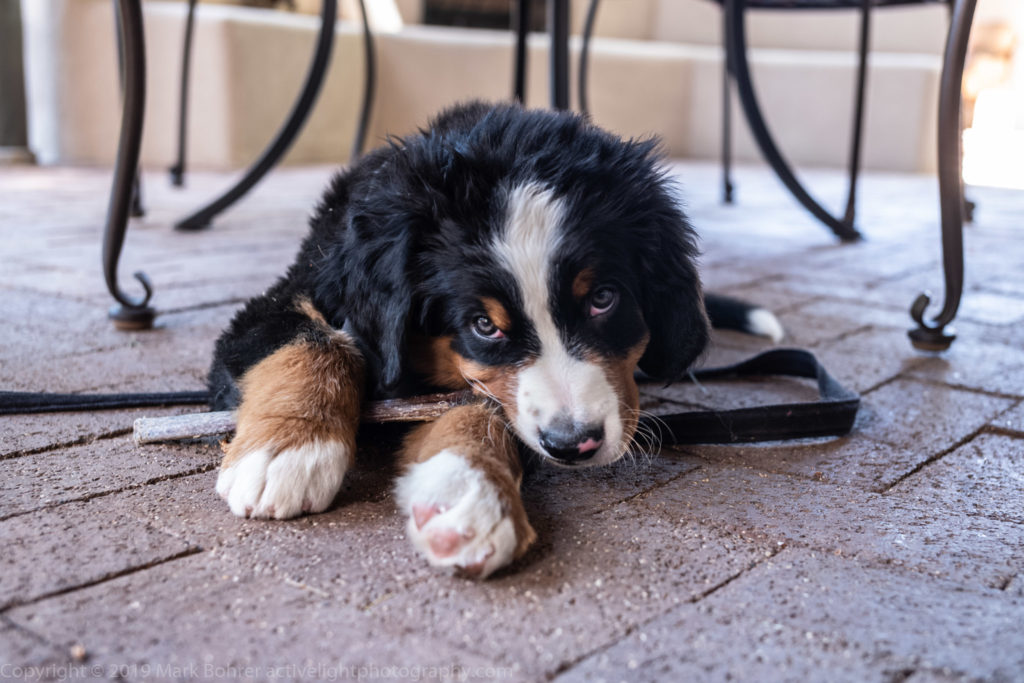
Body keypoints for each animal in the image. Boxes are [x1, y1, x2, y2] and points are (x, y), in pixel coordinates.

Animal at [209, 101, 782, 581]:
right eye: (485, 325)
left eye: (603, 298)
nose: (574, 444)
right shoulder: (283, 299)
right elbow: (311, 342)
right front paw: (289, 449)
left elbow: (480, 404)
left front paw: (467, 488)